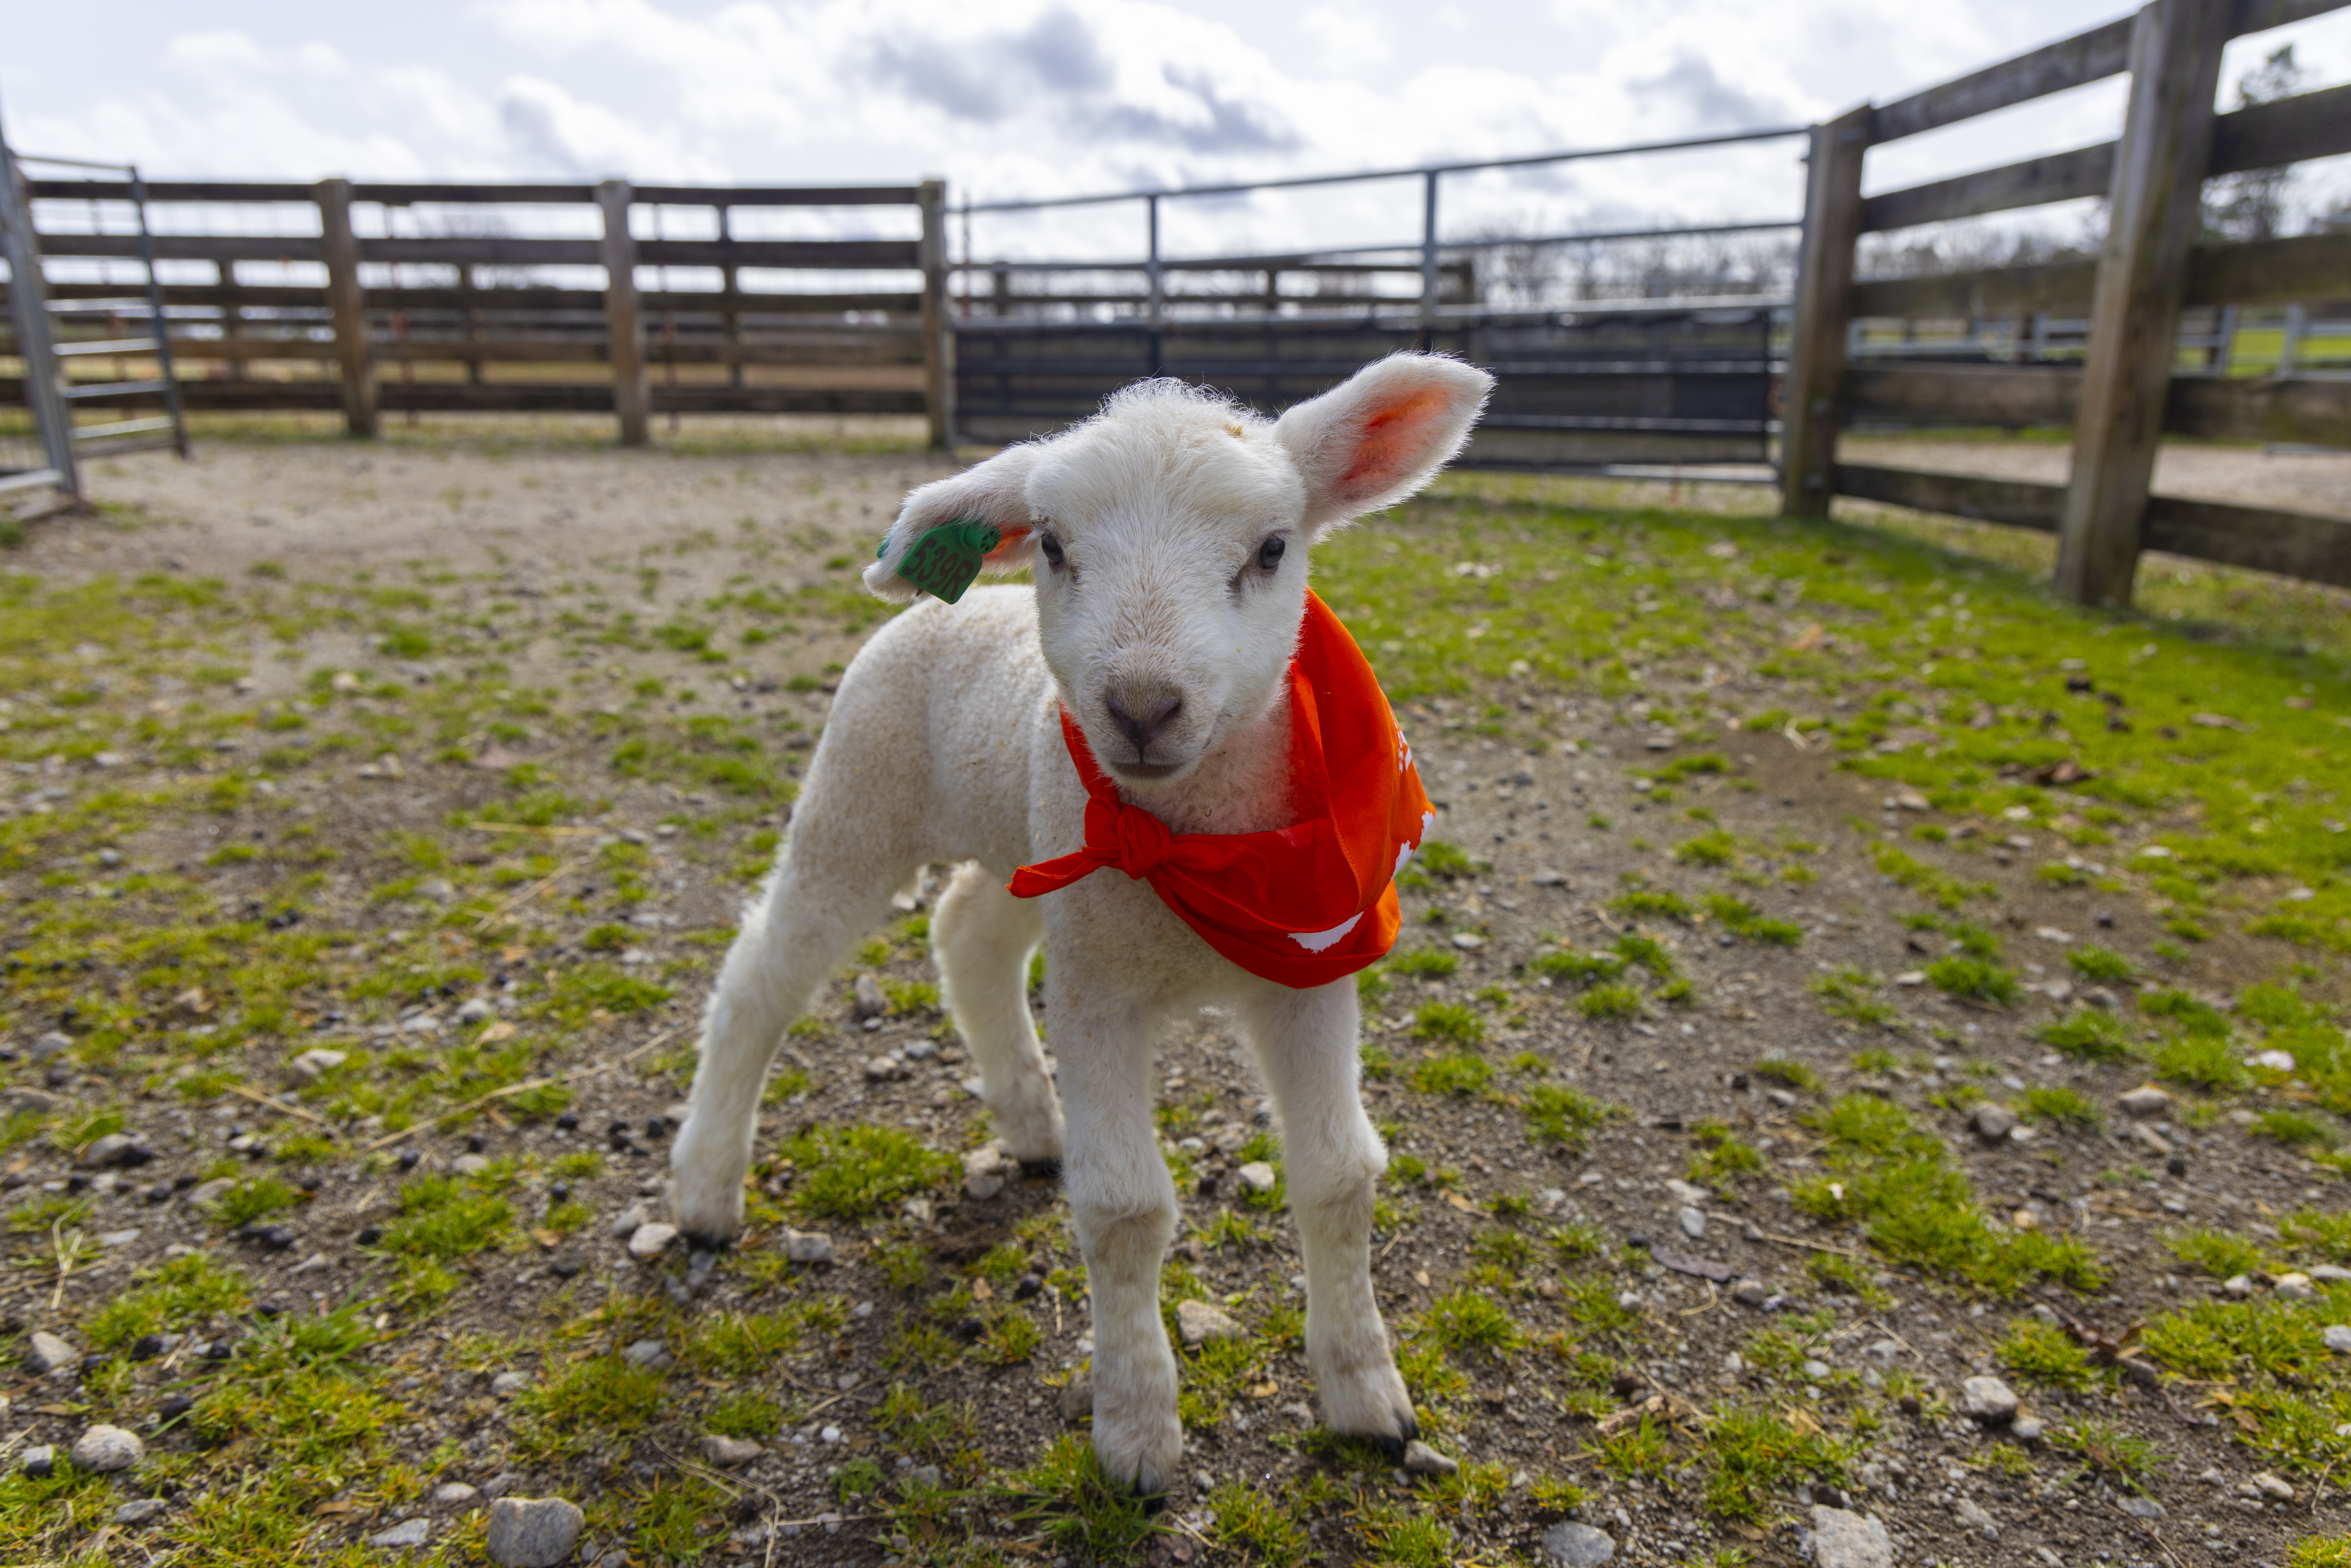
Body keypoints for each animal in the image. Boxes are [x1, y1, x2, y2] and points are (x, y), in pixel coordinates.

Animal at [669, 351, 1494, 1495]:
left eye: (1272, 549)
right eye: (1057, 545)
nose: (1142, 706)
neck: (1195, 851)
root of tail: (961, 609)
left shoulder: (1310, 963)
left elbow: (1338, 1175)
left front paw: (1366, 1395)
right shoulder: (1099, 983)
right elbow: (1126, 1207)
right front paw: (1138, 1429)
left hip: (1025, 850)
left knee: (968, 936)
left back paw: (1032, 1125)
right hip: (855, 804)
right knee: (758, 983)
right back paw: (706, 1190)